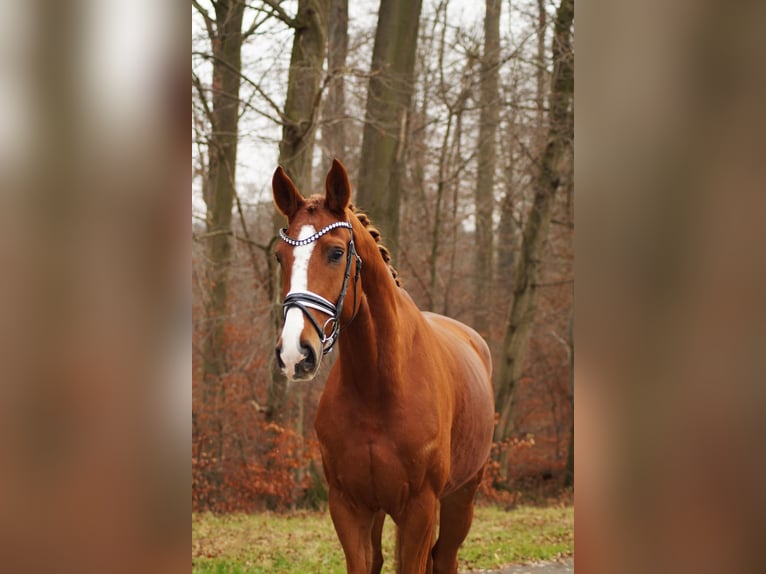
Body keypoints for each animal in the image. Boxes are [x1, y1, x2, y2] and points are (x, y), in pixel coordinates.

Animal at [272, 160, 496, 572]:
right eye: (280, 256)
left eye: (336, 253)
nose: (296, 353)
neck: (379, 388)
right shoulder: (349, 506)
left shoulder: (419, 509)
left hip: (462, 497)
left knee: (445, 556)